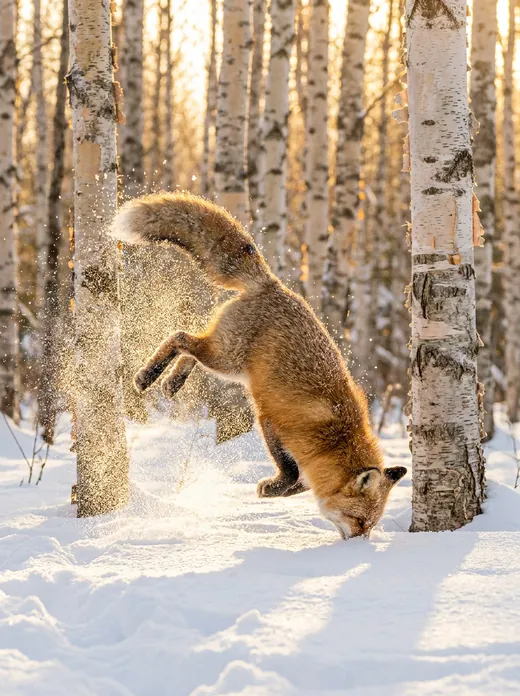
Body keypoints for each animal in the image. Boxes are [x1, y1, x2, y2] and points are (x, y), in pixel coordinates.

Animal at [109, 192, 407, 539]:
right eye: (359, 520)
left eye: (371, 524)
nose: (361, 544)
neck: (334, 437)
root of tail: (272, 283)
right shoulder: (272, 422)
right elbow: (290, 473)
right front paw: (272, 489)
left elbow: (301, 484)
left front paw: (274, 491)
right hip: (226, 358)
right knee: (180, 337)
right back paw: (148, 376)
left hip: (227, 361)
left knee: (190, 347)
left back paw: (173, 382)